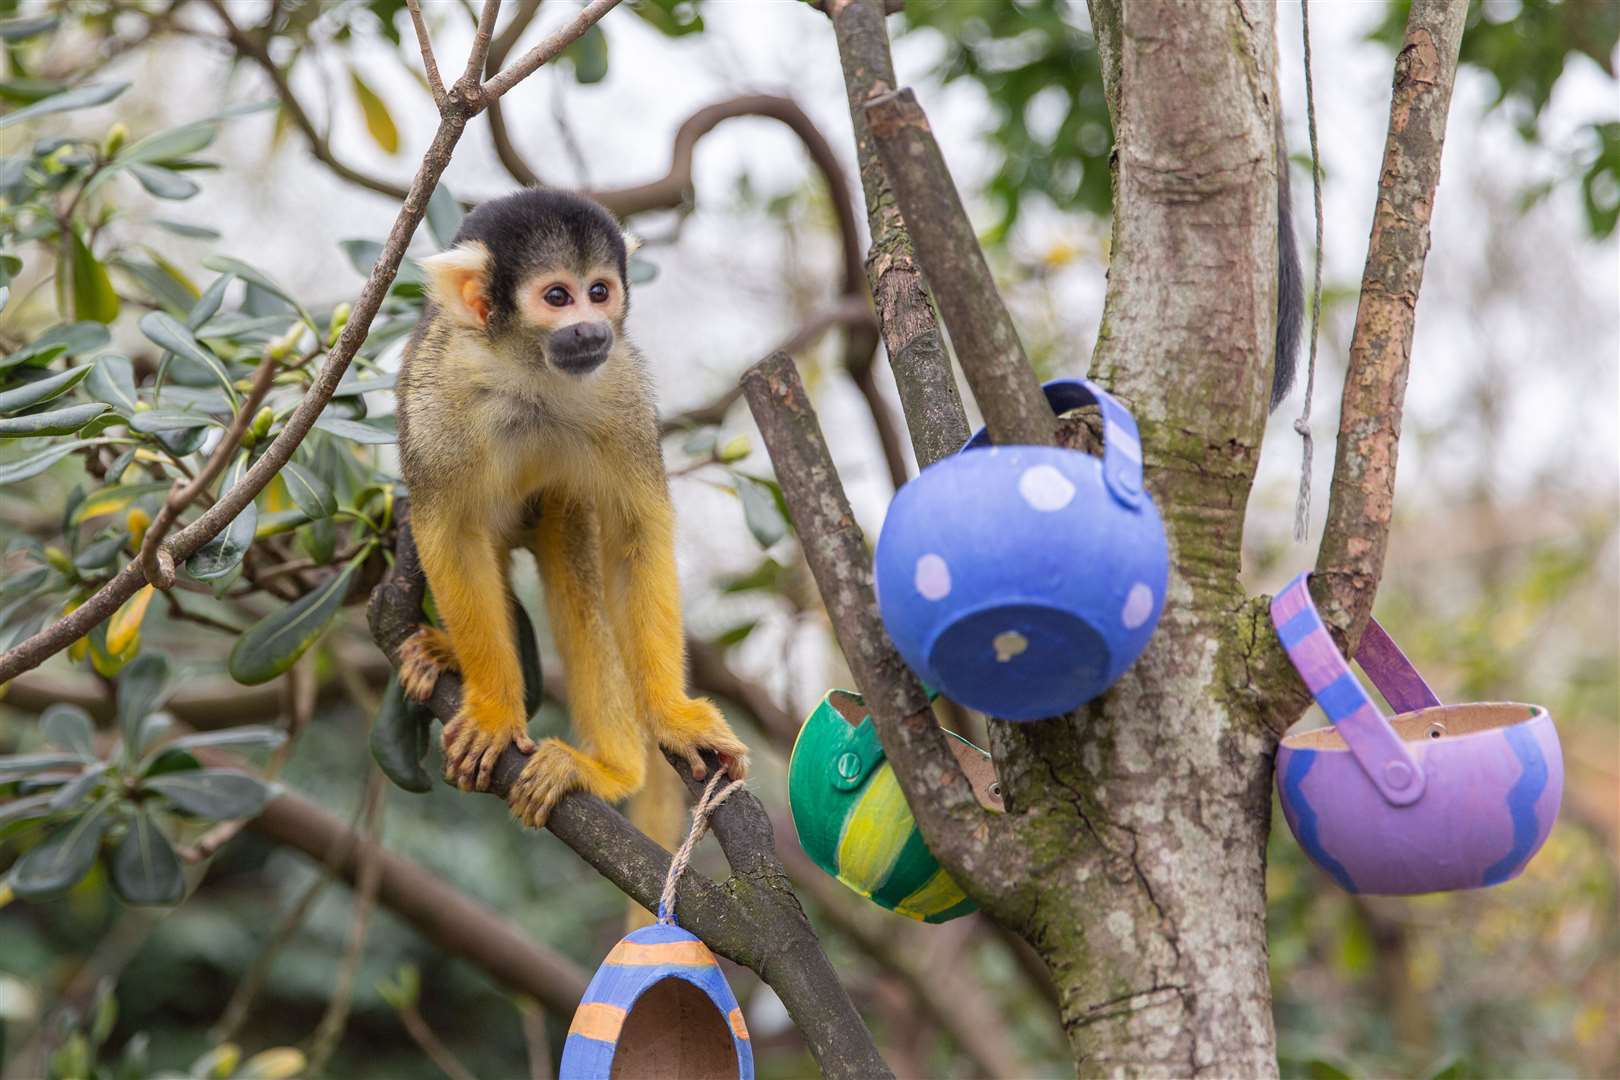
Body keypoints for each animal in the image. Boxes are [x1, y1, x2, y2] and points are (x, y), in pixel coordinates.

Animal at [395, 190, 748, 829]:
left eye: (600, 291)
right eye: (558, 297)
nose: (590, 327)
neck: (529, 376)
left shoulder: (622, 386)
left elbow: (636, 536)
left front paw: (673, 717)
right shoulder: (438, 398)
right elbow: (448, 533)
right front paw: (494, 712)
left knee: (569, 536)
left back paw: (610, 770)